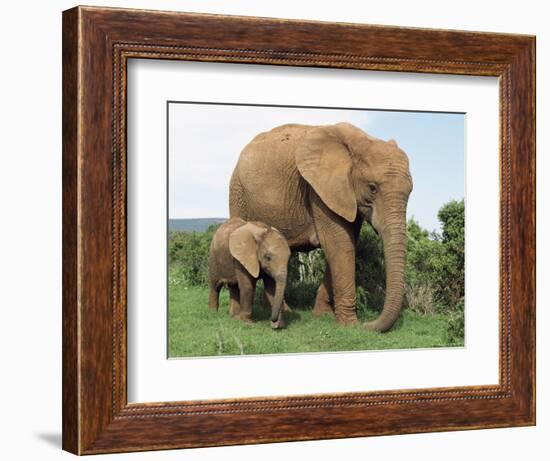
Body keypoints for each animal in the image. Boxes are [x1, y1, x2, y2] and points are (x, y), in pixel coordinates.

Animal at [230, 122, 414, 330]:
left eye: (410, 191)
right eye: (372, 188)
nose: (367, 324)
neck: (359, 141)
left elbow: (347, 244)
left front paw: (323, 315)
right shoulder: (320, 190)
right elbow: (339, 245)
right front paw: (349, 325)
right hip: (237, 192)